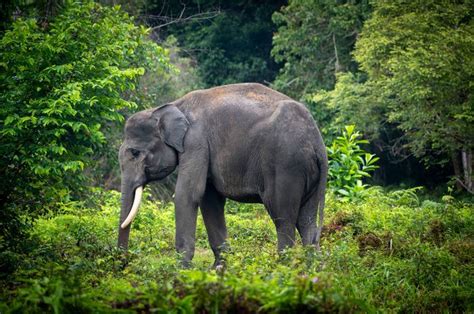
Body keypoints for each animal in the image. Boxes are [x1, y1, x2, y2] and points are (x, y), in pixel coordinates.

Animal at [116, 82, 328, 266]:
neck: (174, 105)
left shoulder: (196, 141)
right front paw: (219, 268)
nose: (124, 264)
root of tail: (318, 142)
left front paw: (180, 269)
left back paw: (281, 268)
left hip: (286, 166)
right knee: (306, 220)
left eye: (135, 153)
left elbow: (188, 194)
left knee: (282, 215)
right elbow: (209, 200)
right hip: (309, 174)